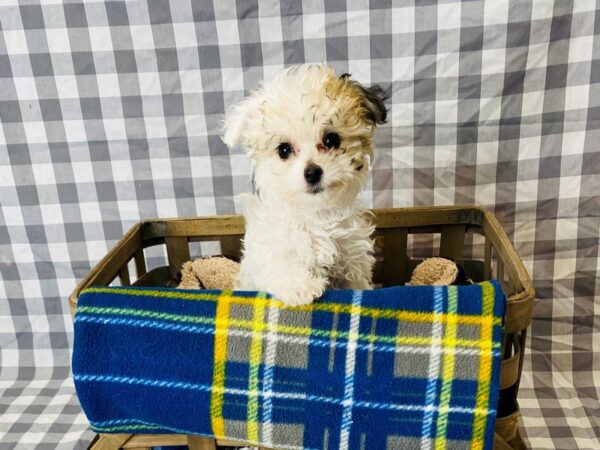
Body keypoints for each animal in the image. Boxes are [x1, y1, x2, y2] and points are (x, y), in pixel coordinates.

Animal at [223, 64, 386, 306]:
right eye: (283, 149)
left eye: (331, 140)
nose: (312, 172)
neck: (315, 214)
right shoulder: (270, 248)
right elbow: (280, 264)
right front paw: (301, 286)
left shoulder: (351, 259)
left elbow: (356, 284)